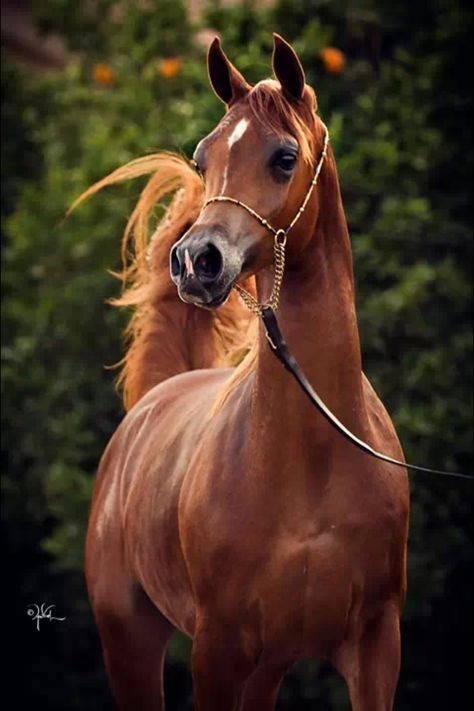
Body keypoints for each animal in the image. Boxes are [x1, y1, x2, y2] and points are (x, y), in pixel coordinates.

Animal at [83, 34, 410, 711]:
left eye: (285, 158)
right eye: (203, 158)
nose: (195, 261)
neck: (313, 461)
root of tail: (155, 397)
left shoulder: (376, 644)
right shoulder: (219, 650)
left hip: (266, 669)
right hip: (128, 641)